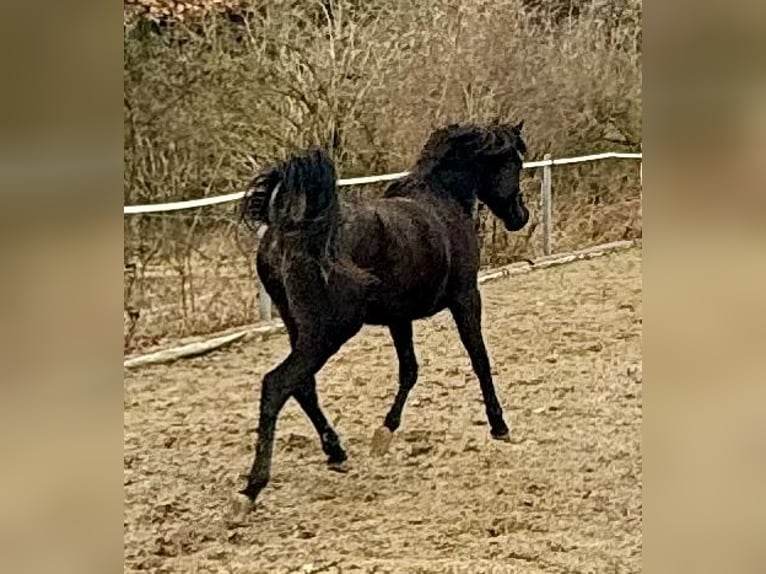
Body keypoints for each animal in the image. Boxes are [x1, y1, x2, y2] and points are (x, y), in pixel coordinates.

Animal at [239, 120, 529, 503]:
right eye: (515, 163)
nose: (521, 217)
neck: (444, 202)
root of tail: (289, 229)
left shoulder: (399, 317)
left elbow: (410, 370)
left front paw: (384, 433)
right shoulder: (466, 297)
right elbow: (479, 358)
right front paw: (499, 425)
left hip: (298, 327)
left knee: (302, 387)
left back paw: (337, 453)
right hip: (328, 332)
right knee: (277, 384)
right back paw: (252, 488)